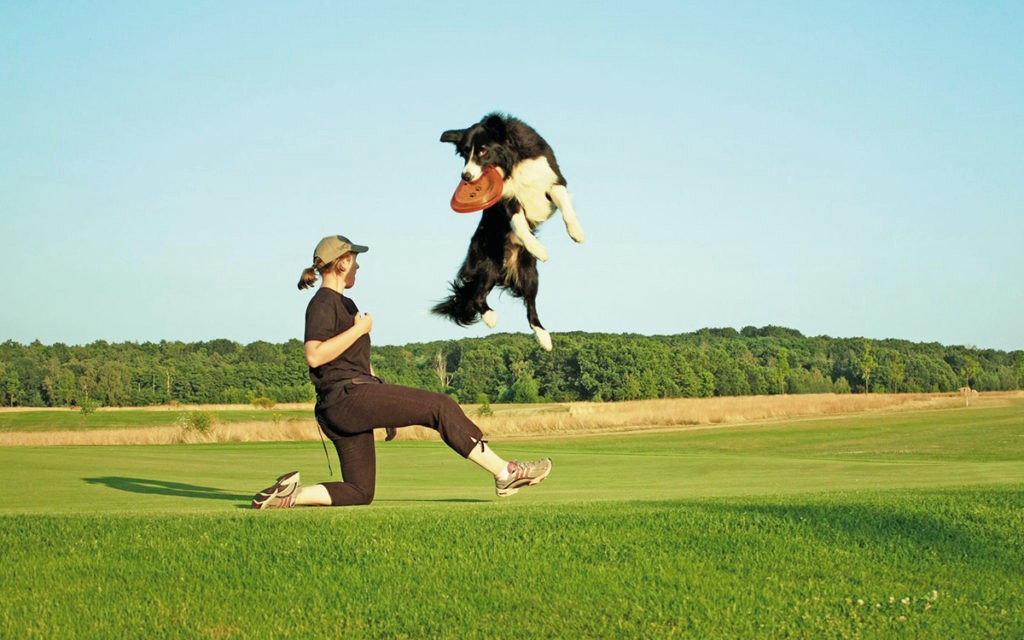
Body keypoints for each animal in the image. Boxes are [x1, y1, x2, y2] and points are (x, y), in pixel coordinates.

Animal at [430, 115, 585, 354]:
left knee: (531, 308)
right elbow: (518, 223)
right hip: (487, 263)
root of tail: (505, 270)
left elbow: (565, 205)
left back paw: (544, 338)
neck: (512, 163)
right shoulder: (507, 200)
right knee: (477, 296)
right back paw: (490, 317)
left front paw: (576, 232)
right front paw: (538, 248)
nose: (465, 176)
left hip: (530, 273)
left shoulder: (552, 179)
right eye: (464, 153)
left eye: (483, 151)